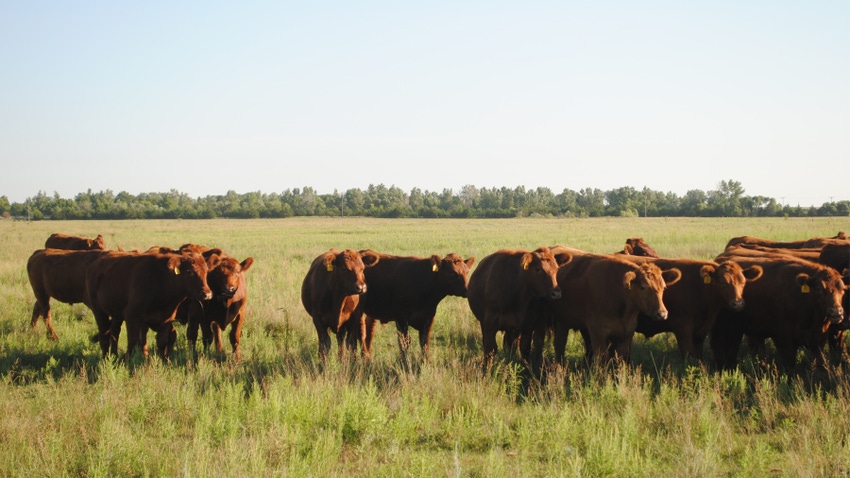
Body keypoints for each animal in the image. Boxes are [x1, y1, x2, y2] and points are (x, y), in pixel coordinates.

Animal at [85, 250, 219, 358]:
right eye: (189, 271)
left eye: (206, 271)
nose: (207, 294)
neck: (162, 279)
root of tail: (94, 266)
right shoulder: (132, 317)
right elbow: (133, 343)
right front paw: (130, 364)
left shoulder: (167, 319)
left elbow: (161, 343)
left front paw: (164, 362)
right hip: (99, 311)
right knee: (104, 335)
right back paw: (105, 359)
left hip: (116, 315)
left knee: (114, 333)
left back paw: (114, 356)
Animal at [544, 254, 684, 366]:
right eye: (643, 287)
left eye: (664, 287)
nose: (662, 313)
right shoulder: (598, 332)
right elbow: (602, 359)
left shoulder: (627, 333)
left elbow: (621, 359)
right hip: (561, 322)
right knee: (560, 345)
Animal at [624, 256, 760, 360]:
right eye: (723, 282)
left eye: (743, 282)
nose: (738, 303)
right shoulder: (683, 329)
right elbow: (690, 357)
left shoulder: (700, 332)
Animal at [704, 254, 844, 370]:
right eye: (819, 288)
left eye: (843, 289)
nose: (836, 311)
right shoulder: (784, 338)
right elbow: (789, 364)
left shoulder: (818, 341)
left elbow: (820, 363)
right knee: (719, 347)